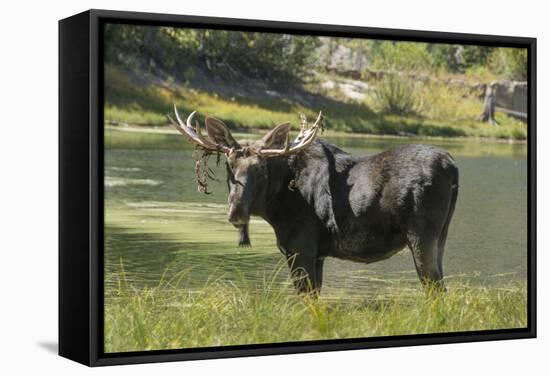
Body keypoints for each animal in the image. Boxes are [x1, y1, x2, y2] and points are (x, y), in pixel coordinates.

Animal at [169, 105, 462, 294]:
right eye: (229, 165)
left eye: (261, 168)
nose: (236, 211)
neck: (276, 208)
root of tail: (452, 166)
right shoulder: (318, 254)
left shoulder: (301, 248)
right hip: (442, 236)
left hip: (421, 235)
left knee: (435, 289)